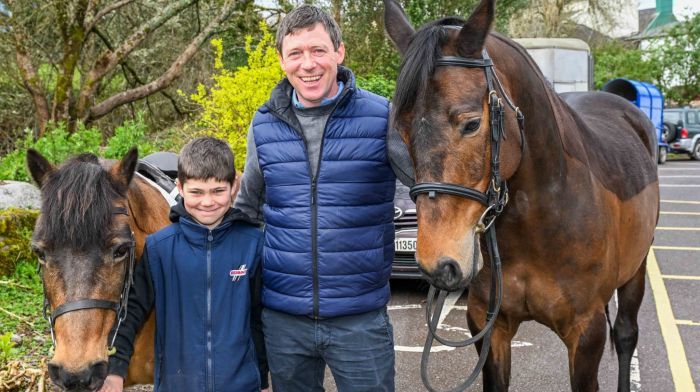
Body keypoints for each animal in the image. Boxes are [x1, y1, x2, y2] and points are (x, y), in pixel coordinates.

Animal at [382, 1, 660, 390]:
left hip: (636, 270)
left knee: (625, 335)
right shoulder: (490, 327)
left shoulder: (586, 334)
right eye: (401, 130)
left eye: (471, 123)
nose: (439, 264)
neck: (541, 223)